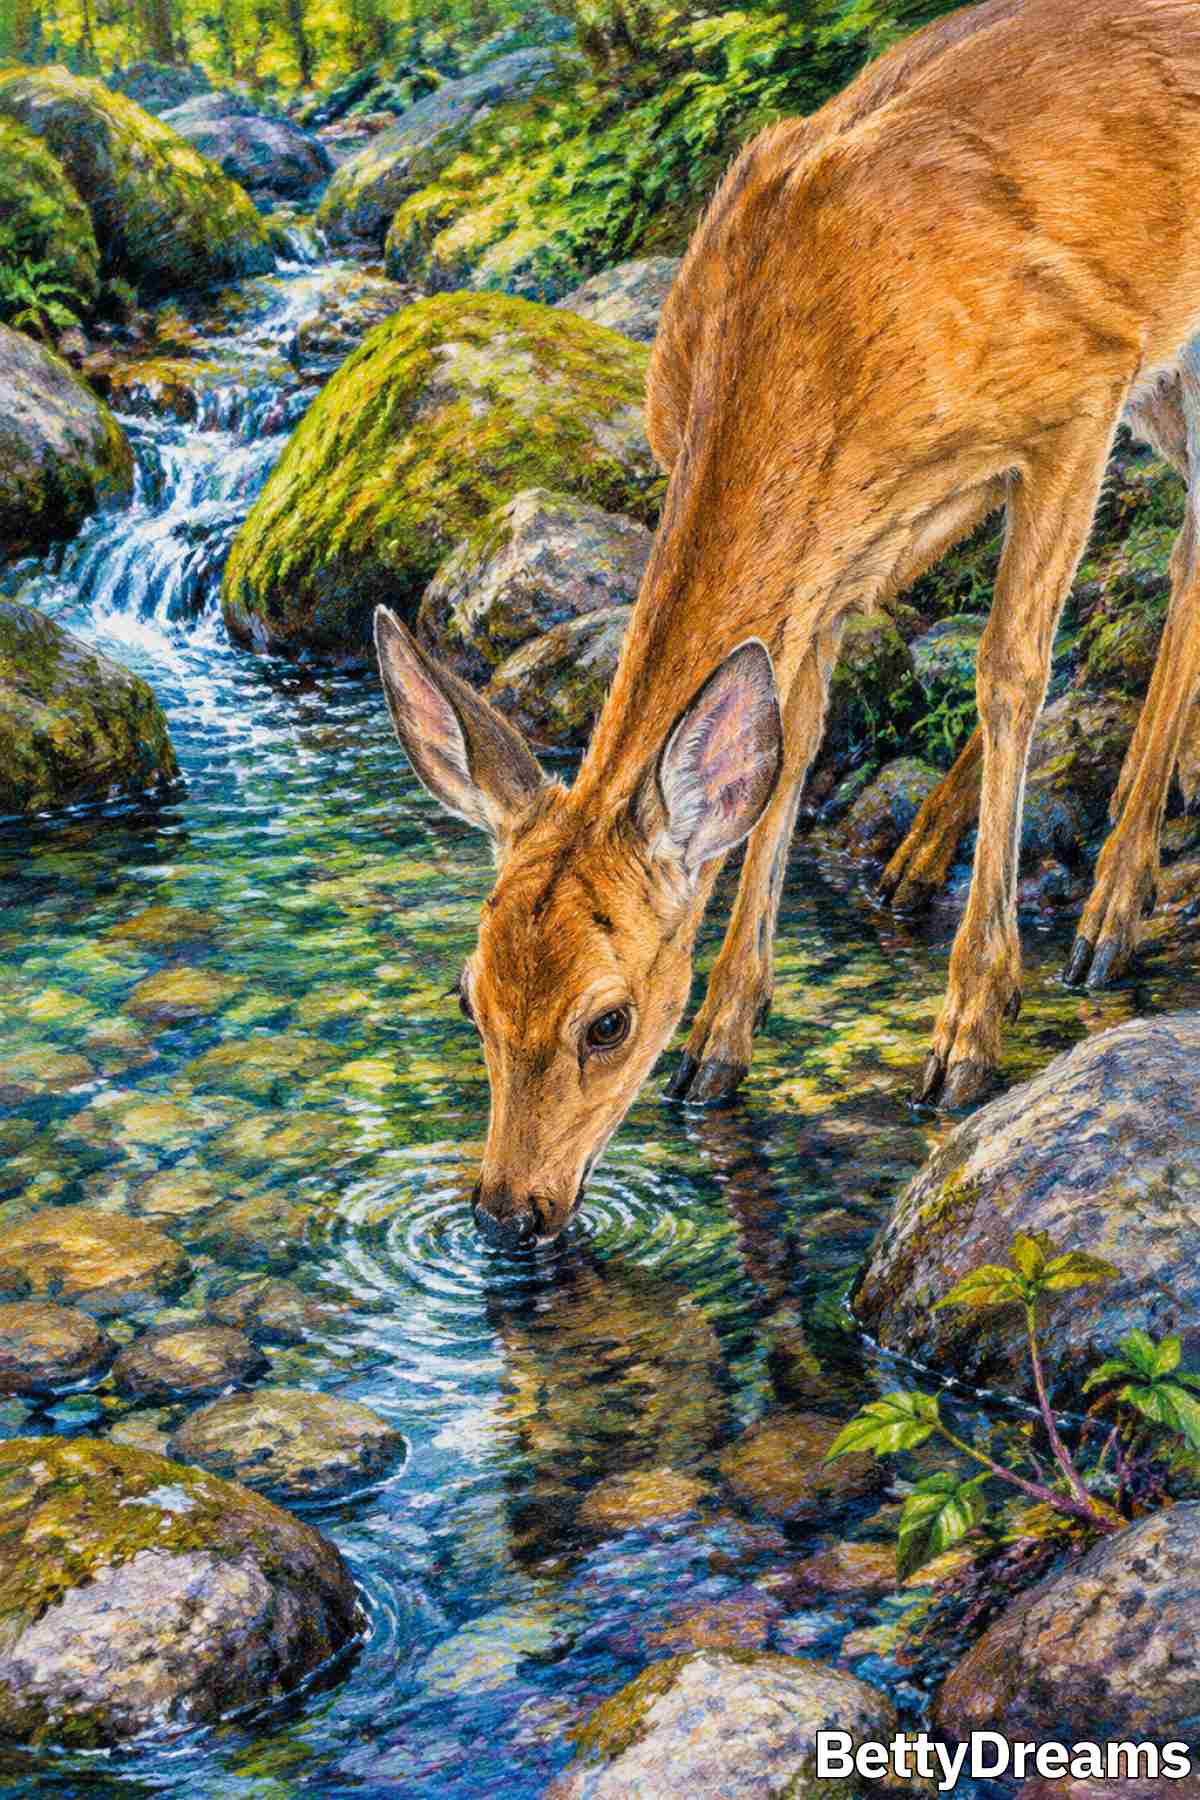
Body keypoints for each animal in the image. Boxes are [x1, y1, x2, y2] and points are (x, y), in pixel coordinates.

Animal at [376, 0, 1200, 1248]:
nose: (511, 1211)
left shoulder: (1078, 389)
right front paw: (721, 1044)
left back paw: (1110, 908)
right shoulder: (835, 554)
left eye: (607, 1021)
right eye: (470, 996)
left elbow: (1011, 668)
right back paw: (921, 860)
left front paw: (970, 1029)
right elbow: (788, 746)